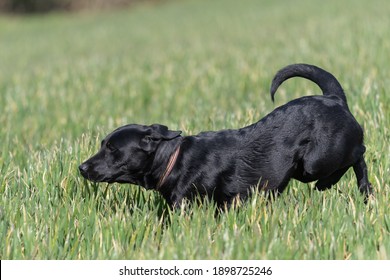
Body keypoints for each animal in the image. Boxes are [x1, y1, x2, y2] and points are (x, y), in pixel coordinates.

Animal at [78, 64, 372, 208]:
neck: (173, 160)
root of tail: (334, 98)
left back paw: (341, 185)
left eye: (112, 149)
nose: (81, 167)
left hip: (315, 162)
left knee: (359, 154)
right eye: (102, 145)